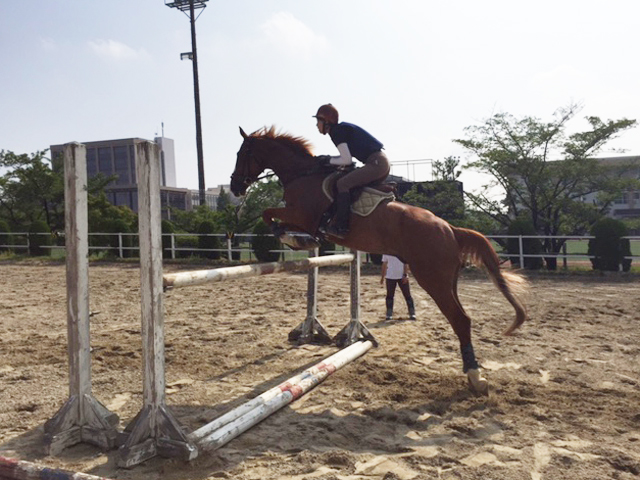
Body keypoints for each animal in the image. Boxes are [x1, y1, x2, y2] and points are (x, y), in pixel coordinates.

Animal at [229, 124, 524, 394]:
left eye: (242, 153)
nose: (234, 187)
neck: (302, 176)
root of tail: (450, 229)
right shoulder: (301, 218)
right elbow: (273, 217)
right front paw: (301, 240)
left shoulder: (303, 215)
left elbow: (269, 215)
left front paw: (294, 239)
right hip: (447, 281)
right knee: (464, 319)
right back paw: (472, 372)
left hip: (432, 279)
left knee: (460, 320)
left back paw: (475, 377)